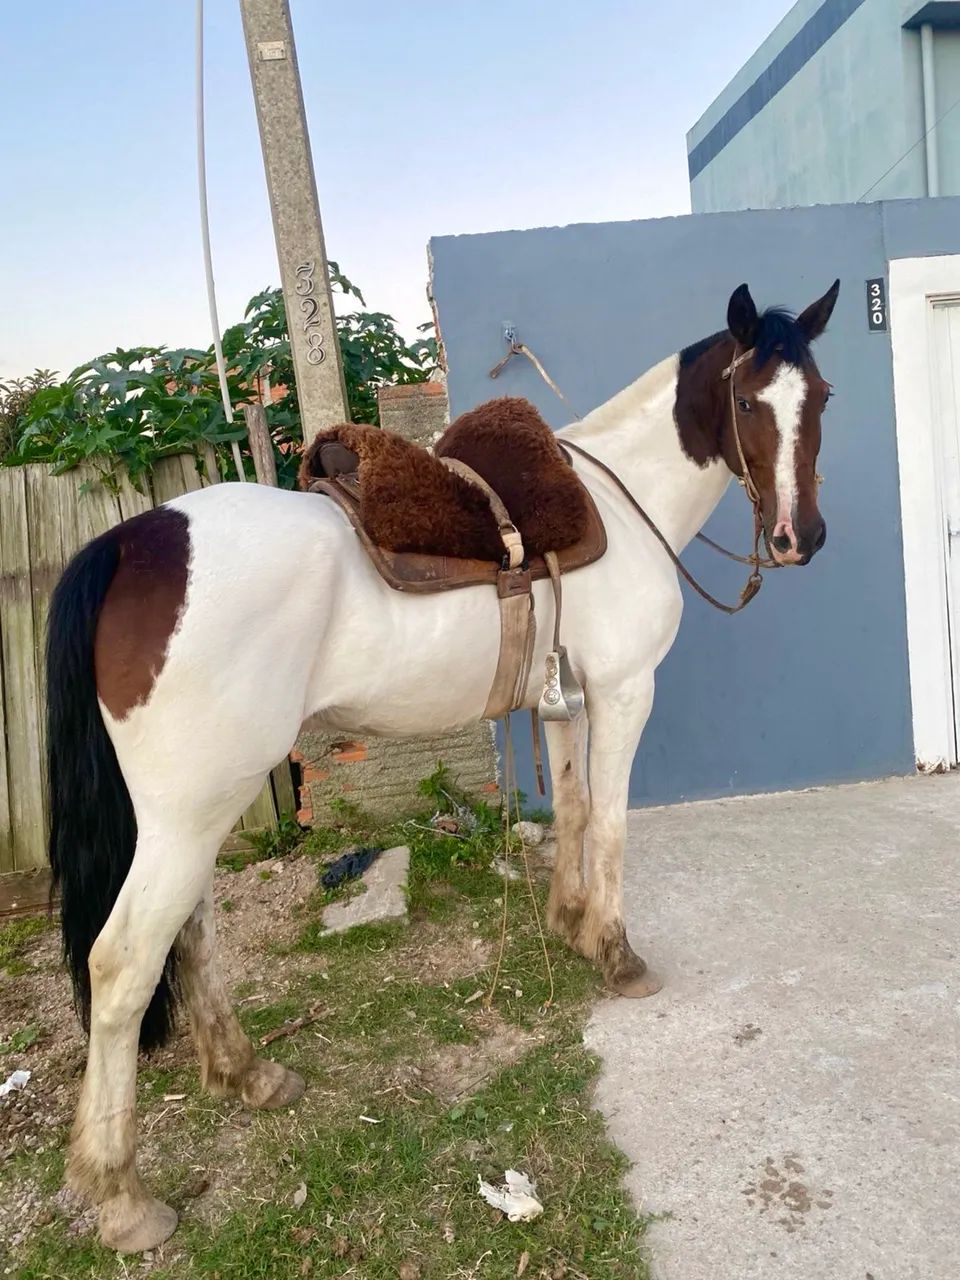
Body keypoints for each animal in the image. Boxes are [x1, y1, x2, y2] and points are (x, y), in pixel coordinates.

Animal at [47, 278, 839, 1251]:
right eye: (747, 403)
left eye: (822, 396)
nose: (801, 536)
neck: (622, 505)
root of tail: (130, 543)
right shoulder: (623, 692)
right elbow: (611, 823)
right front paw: (616, 954)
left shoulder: (563, 696)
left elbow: (572, 811)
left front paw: (568, 925)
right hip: (188, 814)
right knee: (123, 966)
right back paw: (122, 1195)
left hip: (193, 812)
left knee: (187, 935)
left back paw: (250, 1076)